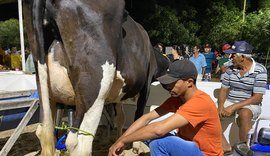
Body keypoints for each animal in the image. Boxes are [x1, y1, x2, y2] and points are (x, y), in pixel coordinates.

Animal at [22, 0, 169, 155]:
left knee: (44, 131)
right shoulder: (146, 85)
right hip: (95, 91)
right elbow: (138, 115)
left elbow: (121, 118)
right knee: (79, 144)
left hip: (46, 90)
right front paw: (136, 147)